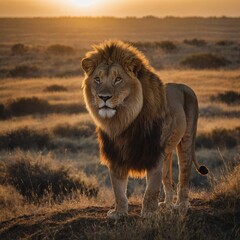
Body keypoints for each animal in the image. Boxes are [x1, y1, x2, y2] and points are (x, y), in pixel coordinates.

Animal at [81, 39, 208, 219]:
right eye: (97, 79)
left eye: (118, 79)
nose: (104, 97)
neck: (124, 121)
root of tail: (184, 86)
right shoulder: (115, 153)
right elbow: (118, 189)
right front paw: (119, 213)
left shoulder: (154, 152)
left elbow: (151, 189)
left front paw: (148, 212)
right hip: (167, 152)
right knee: (168, 179)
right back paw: (167, 204)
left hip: (186, 140)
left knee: (184, 175)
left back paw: (181, 205)